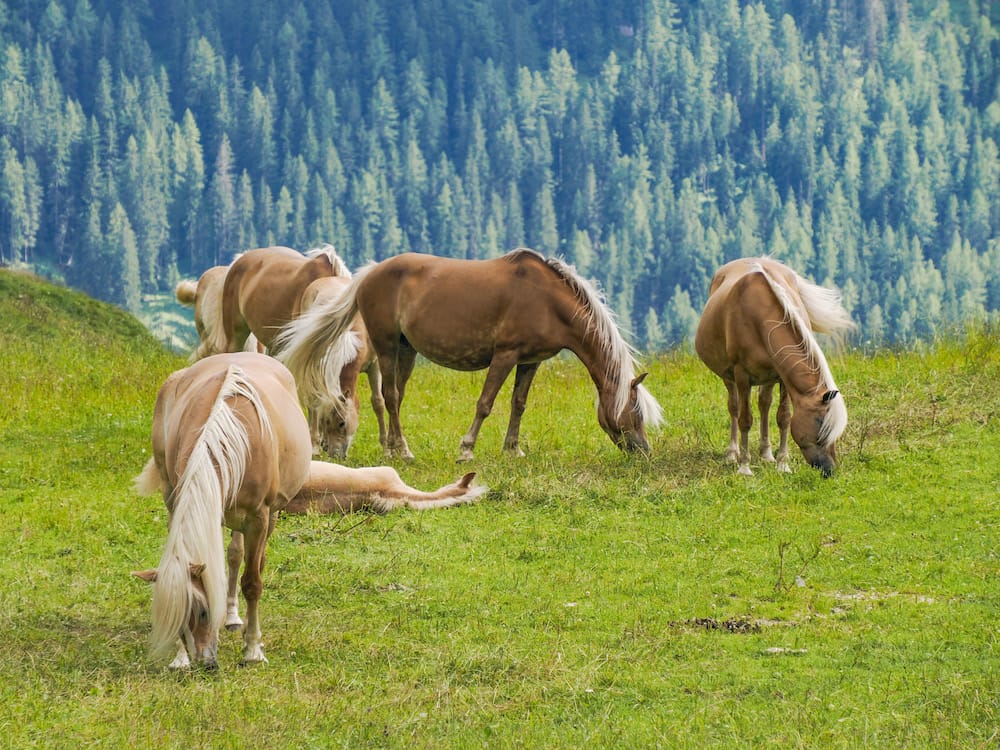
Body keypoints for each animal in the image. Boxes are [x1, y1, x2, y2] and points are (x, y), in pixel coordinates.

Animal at [134, 352, 488, 668]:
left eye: (204, 611)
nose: (206, 663)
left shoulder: (259, 516)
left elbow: (252, 581)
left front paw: (252, 650)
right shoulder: (176, 502)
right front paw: (180, 657)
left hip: (266, 514)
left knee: (240, 557)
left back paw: (236, 619)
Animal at [274, 250, 664, 462]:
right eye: (633, 413)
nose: (643, 450)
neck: (547, 299)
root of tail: (370, 273)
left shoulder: (531, 360)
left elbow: (518, 404)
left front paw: (512, 449)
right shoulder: (505, 355)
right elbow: (485, 403)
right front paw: (467, 449)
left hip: (406, 350)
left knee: (397, 395)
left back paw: (396, 448)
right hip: (385, 346)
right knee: (390, 396)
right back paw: (402, 451)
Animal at [696, 258, 852, 478]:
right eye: (821, 426)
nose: (829, 469)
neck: (758, 315)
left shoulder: (782, 378)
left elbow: (784, 418)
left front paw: (782, 464)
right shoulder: (741, 375)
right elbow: (745, 419)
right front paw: (744, 467)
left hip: (768, 378)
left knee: (764, 404)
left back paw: (766, 454)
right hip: (729, 377)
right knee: (734, 407)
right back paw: (733, 453)